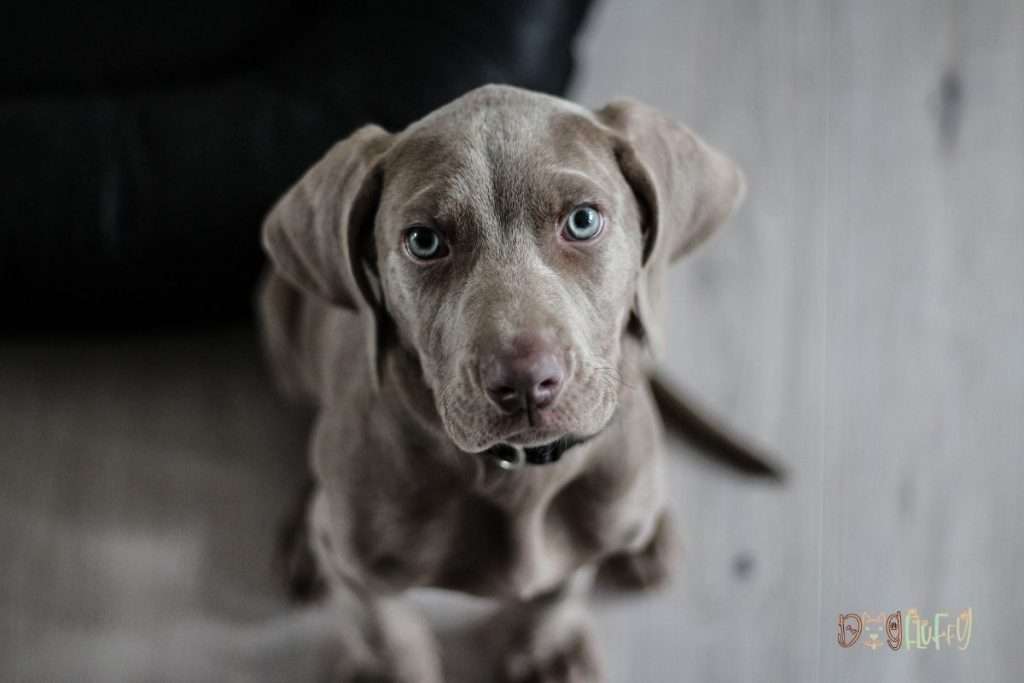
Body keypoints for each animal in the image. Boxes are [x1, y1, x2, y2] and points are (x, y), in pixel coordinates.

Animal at [256, 85, 774, 683]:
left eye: (582, 221)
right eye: (424, 241)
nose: (525, 382)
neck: (516, 476)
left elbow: (563, 585)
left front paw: (547, 647)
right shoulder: (360, 568)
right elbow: (383, 626)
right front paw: (391, 666)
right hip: (277, 315)